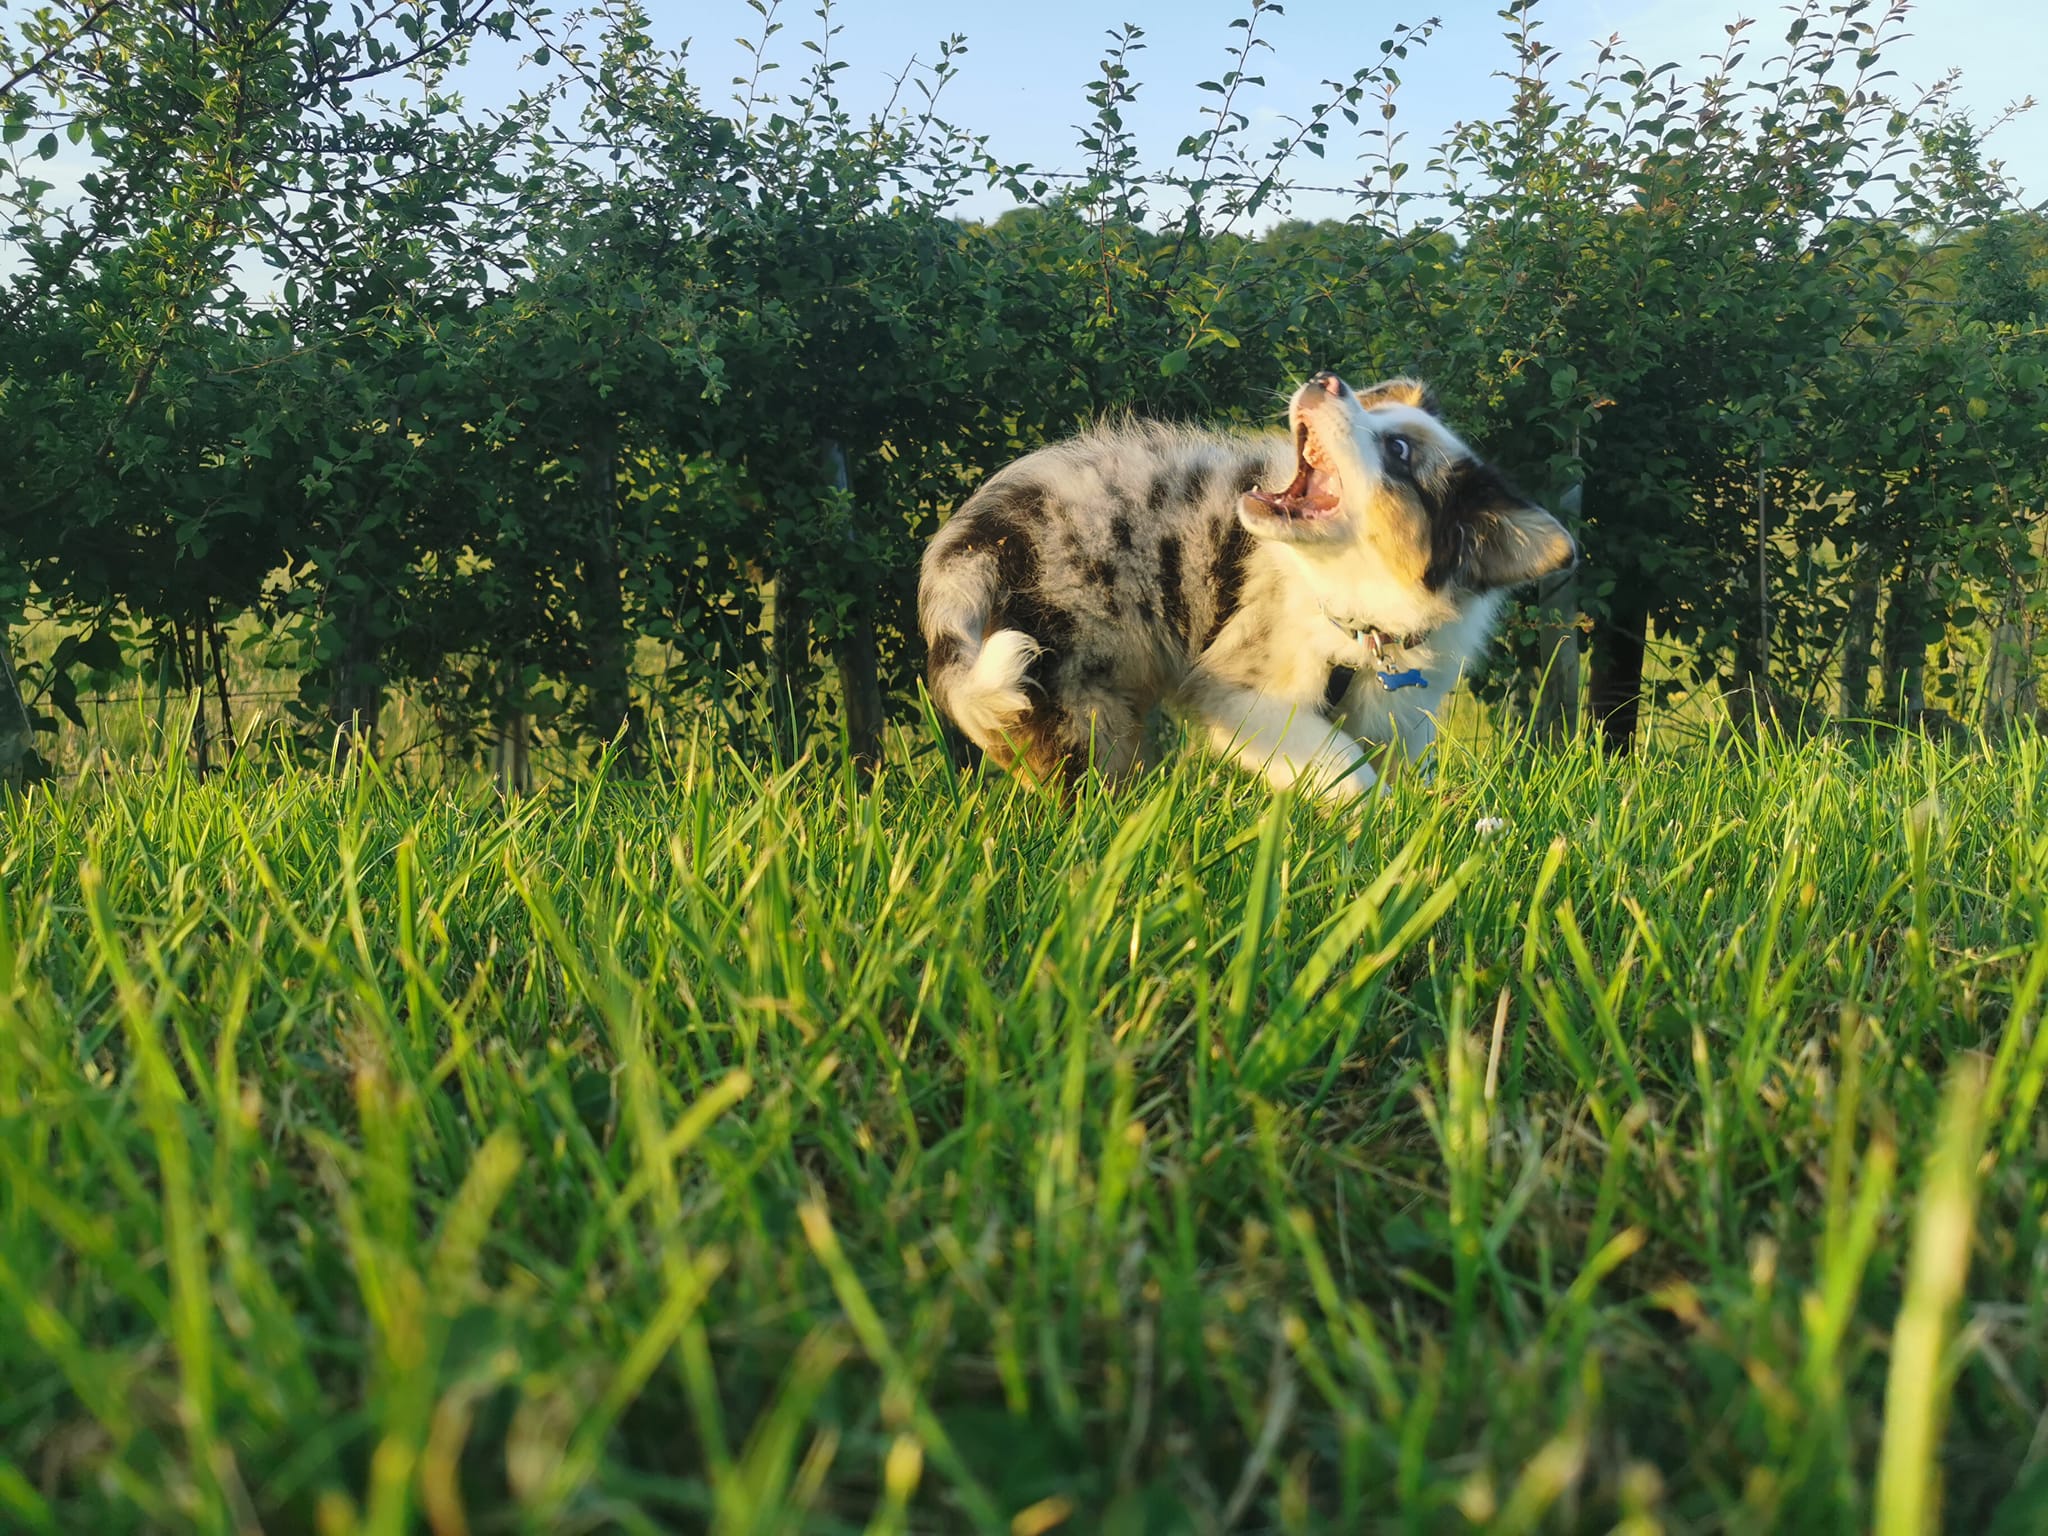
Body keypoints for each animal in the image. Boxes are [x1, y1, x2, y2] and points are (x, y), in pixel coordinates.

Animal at [921, 374, 1572, 806]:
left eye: (1398, 449)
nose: (1327, 379)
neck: (1357, 613)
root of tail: (973, 543)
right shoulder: (1235, 690)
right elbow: (1341, 761)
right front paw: (1371, 816)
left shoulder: (1404, 707)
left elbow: (1406, 763)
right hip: (1076, 700)